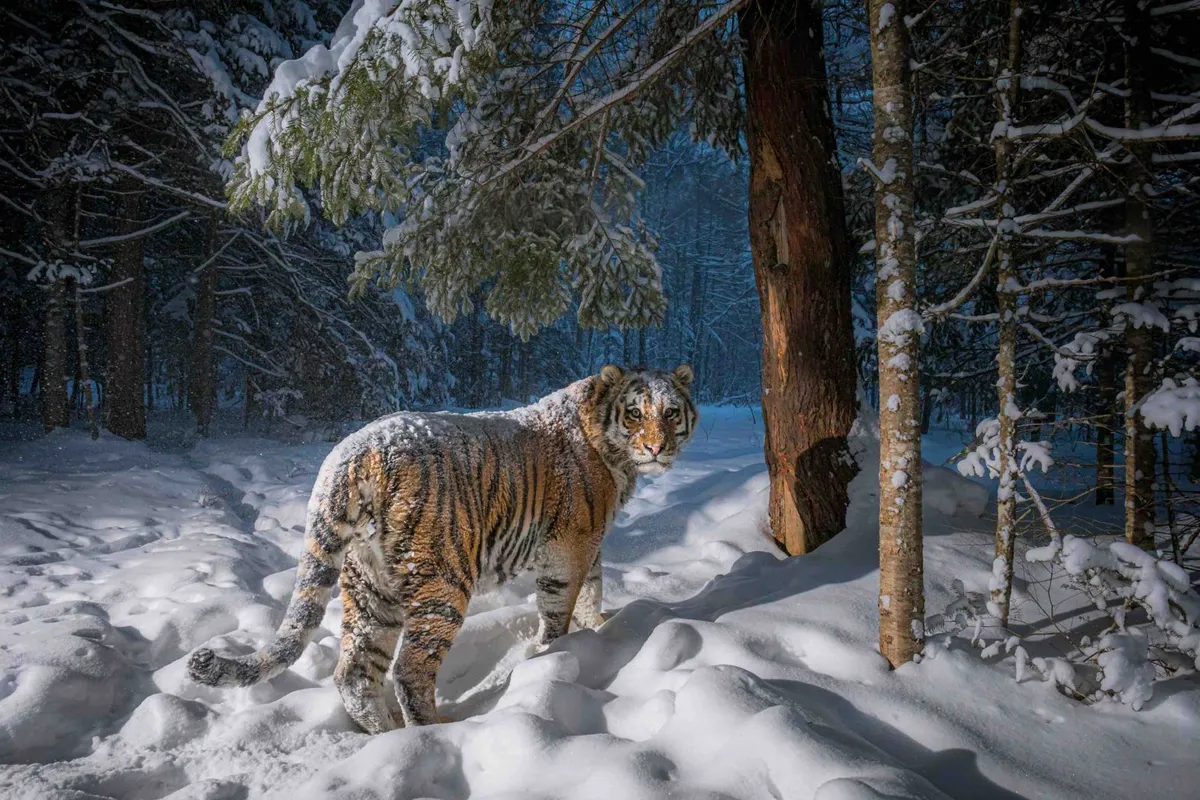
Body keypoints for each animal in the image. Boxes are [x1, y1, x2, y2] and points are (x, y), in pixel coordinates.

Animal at [182, 367, 700, 734]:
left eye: (671, 413)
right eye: (635, 413)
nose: (656, 448)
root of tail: (351, 454)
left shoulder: (590, 546)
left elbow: (592, 589)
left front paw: (598, 628)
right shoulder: (569, 545)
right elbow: (560, 606)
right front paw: (556, 652)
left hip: (370, 587)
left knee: (355, 672)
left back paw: (386, 734)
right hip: (443, 581)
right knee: (410, 671)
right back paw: (433, 732)